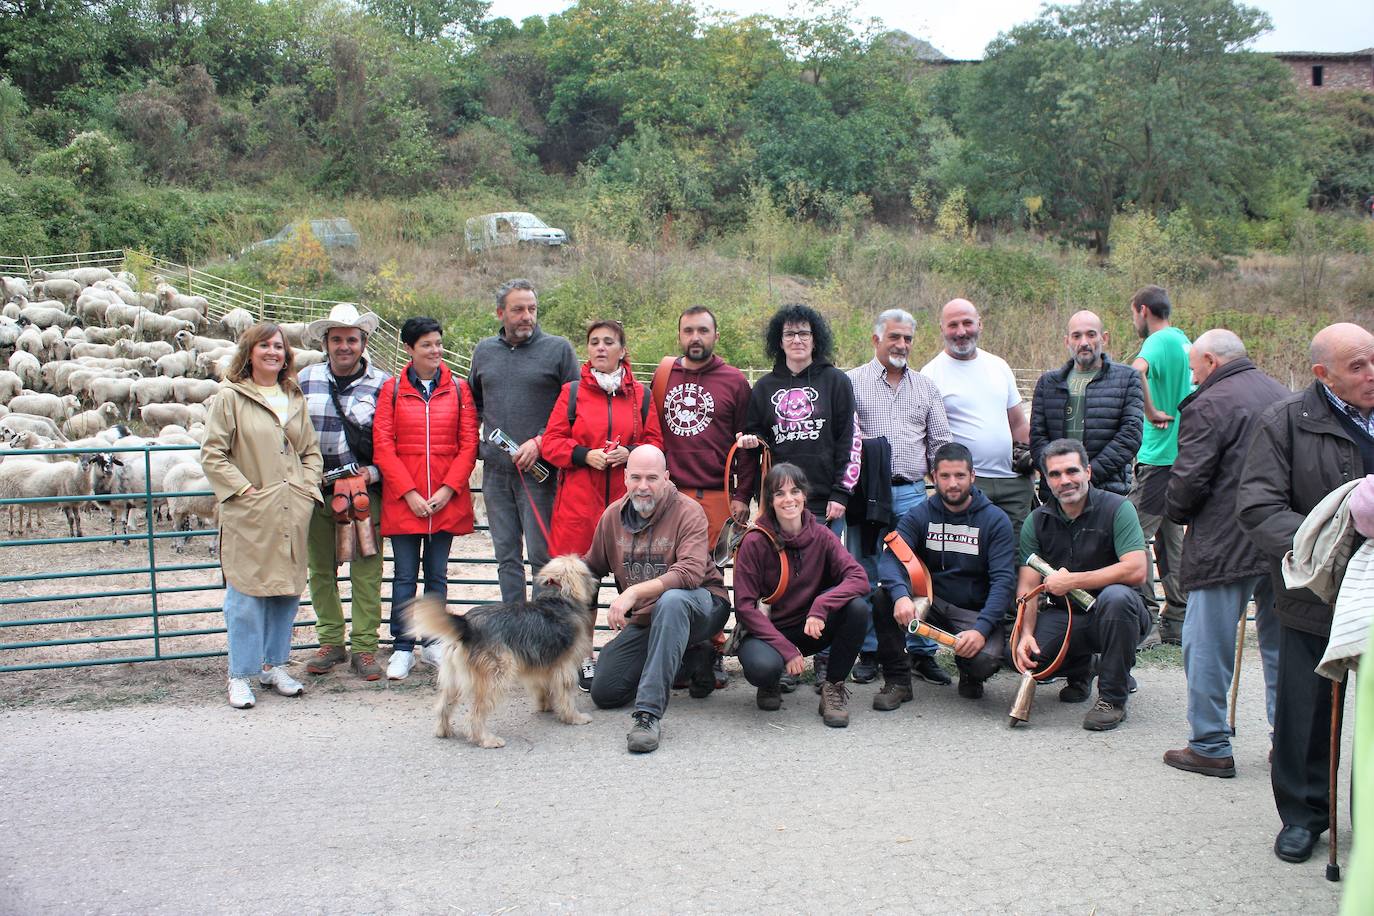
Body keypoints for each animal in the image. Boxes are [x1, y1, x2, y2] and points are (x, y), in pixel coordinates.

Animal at [409, 554, 599, 747]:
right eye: (586, 572)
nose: (596, 581)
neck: (558, 597)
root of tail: (466, 626)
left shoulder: (542, 664)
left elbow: (542, 686)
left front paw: (546, 706)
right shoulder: (564, 665)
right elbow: (566, 694)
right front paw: (574, 717)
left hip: (454, 677)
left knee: (444, 706)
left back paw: (443, 730)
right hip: (496, 675)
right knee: (475, 714)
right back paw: (486, 739)